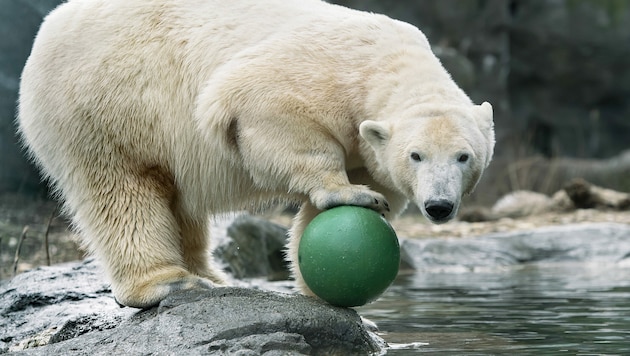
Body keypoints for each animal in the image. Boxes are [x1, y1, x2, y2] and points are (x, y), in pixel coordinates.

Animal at [18, 0, 494, 308]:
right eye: (416, 155)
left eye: (464, 157)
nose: (438, 206)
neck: (386, 62)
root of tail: (46, 30)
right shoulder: (320, 71)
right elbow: (263, 104)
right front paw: (348, 193)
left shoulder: (370, 144)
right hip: (106, 104)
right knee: (121, 190)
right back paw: (169, 284)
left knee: (179, 203)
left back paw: (211, 275)